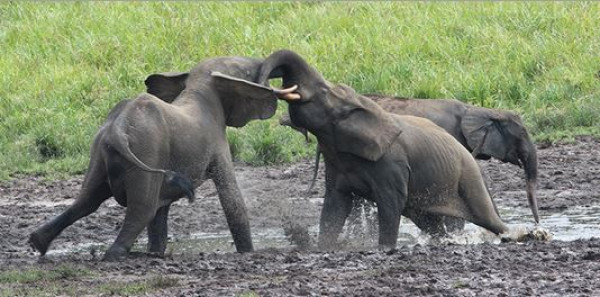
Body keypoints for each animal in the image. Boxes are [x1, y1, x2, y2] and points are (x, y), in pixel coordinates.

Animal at [31, 55, 286, 260]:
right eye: (246, 73)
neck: (198, 85)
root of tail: (118, 129)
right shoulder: (217, 143)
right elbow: (231, 199)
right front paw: (247, 253)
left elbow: (161, 210)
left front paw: (155, 251)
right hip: (148, 148)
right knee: (143, 207)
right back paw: (115, 255)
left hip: (104, 152)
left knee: (88, 200)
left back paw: (37, 243)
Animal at [253, 49, 510, 249]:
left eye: (324, 92)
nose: (268, 86)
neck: (363, 107)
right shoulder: (335, 165)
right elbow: (335, 206)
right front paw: (323, 248)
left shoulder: (391, 165)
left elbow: (390, 205)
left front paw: (385, 248)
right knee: (430, 222)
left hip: (468, 178)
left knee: (488, 219)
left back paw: (511, 235)